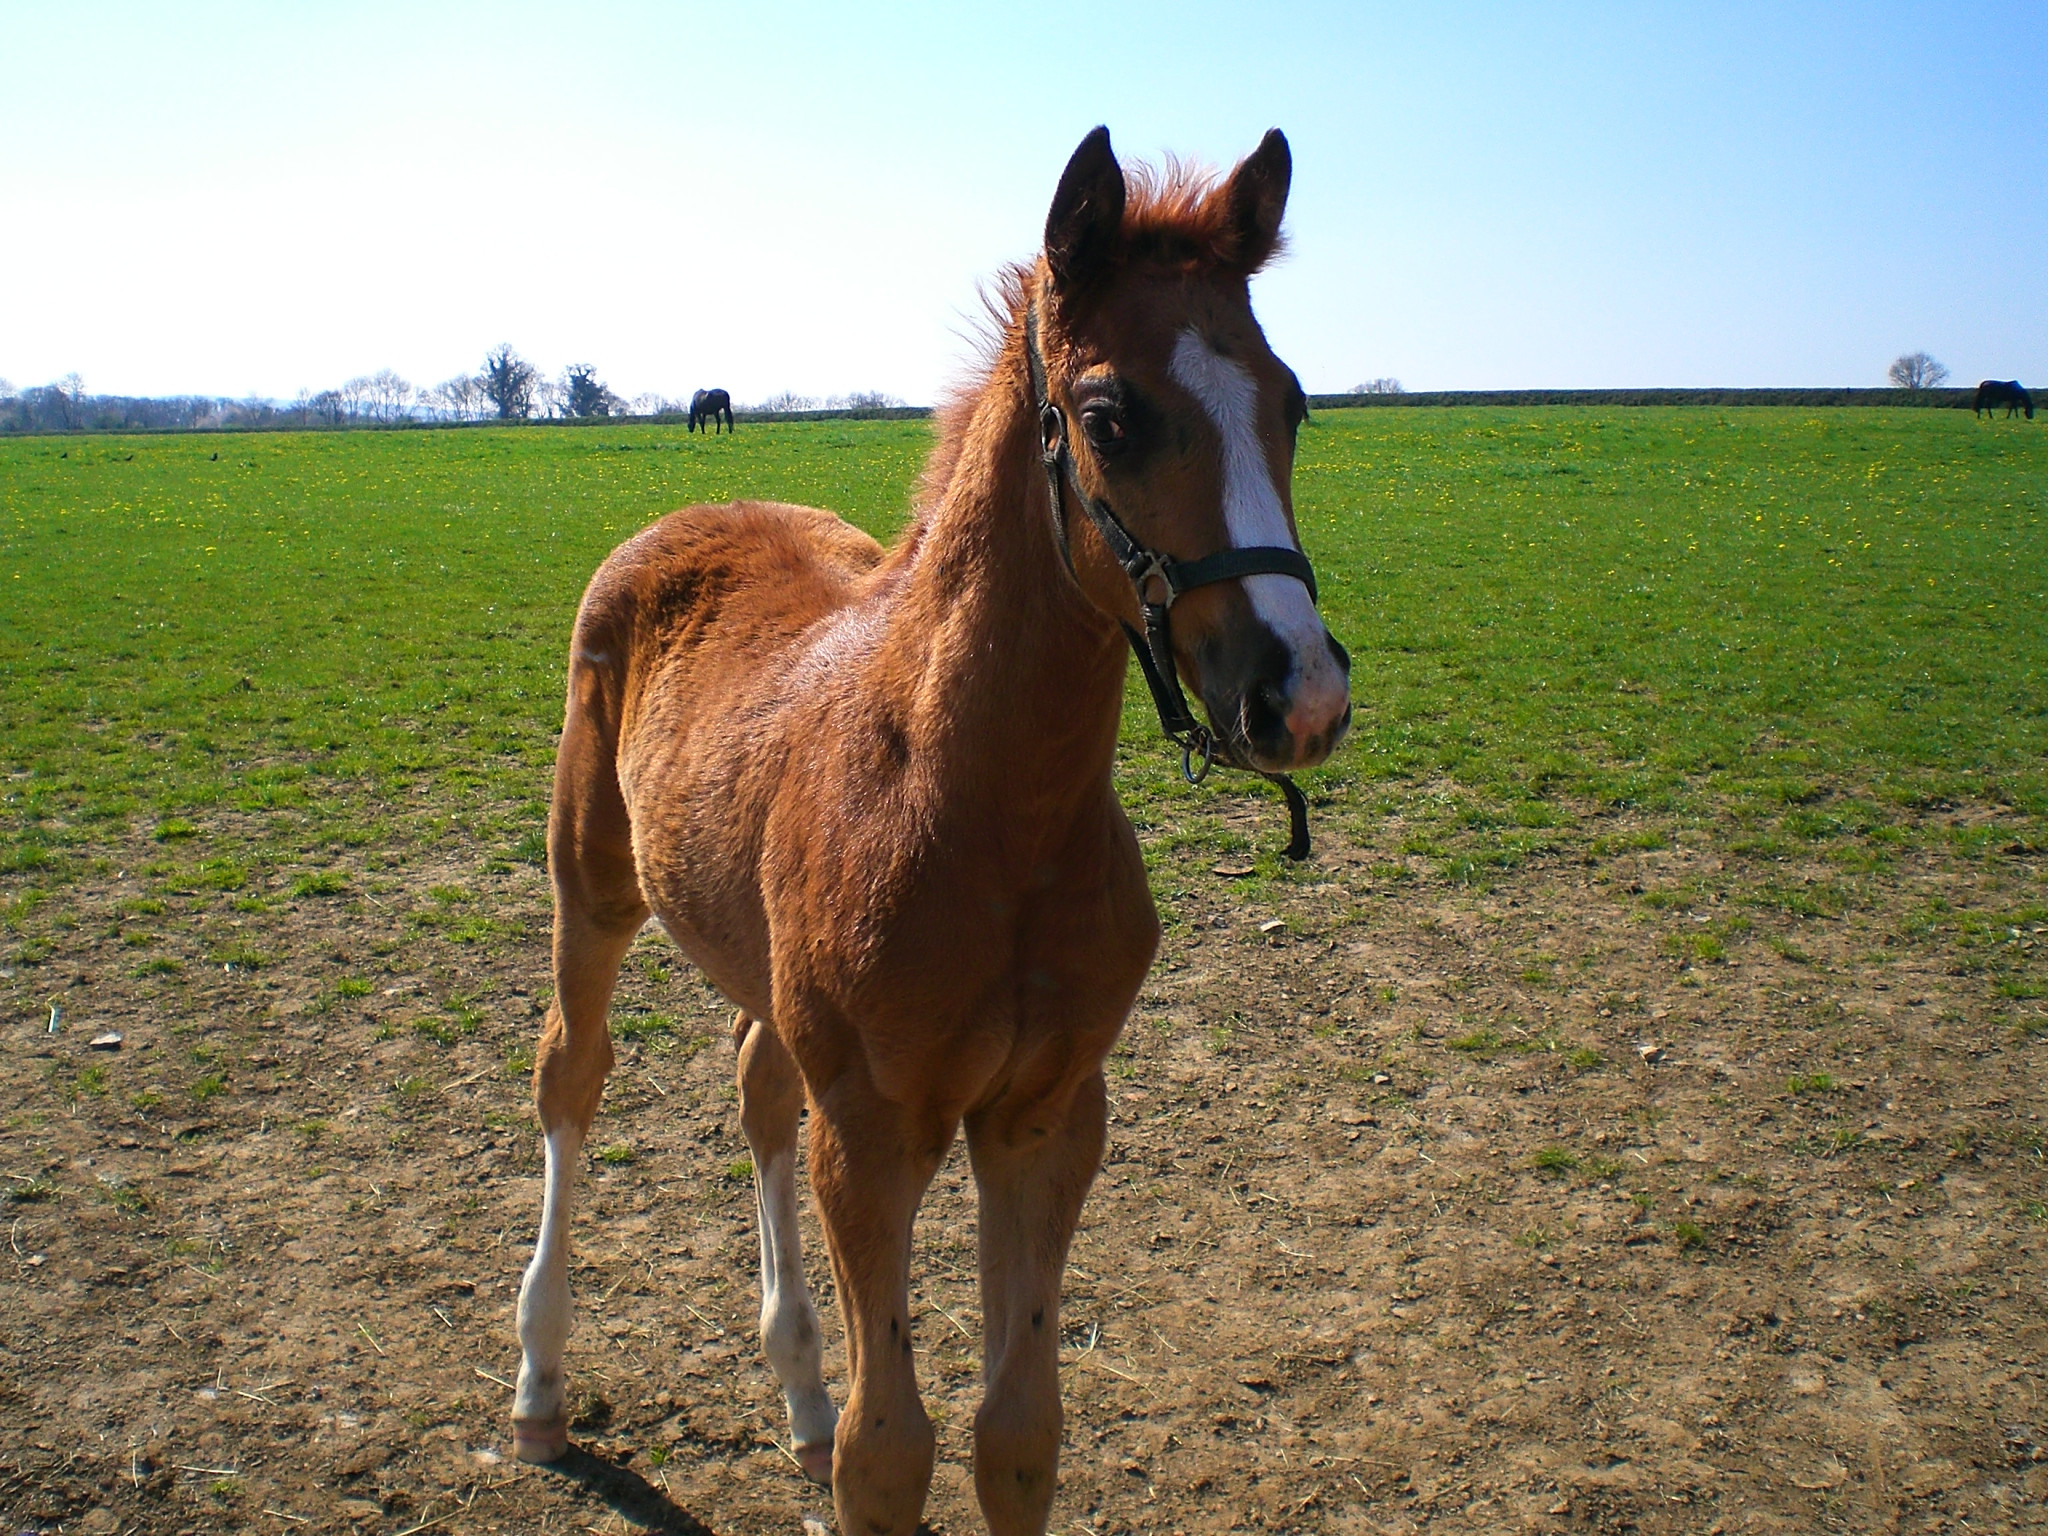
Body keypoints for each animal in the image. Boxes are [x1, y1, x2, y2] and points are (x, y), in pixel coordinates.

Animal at [512, 123, 1351, 1536]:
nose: (1298, 695)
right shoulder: (875, 1129)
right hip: (595, 884)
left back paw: (794, 1390)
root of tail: (692, 514)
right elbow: (886, 1452)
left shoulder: (1046, 1115)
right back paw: (539, 1384)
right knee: (571, 1074)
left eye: (1289, 403)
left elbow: (1017, 1433)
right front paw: (841, 1432)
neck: (982, 810)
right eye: (1110, 419)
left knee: (755, 1083)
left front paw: (840, 1406)